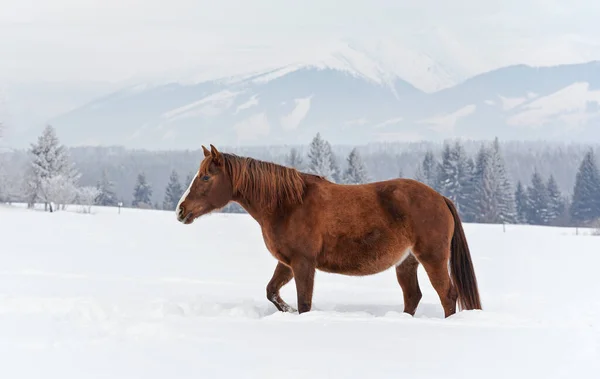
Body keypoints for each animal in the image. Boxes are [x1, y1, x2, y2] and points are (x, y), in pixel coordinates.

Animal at [177, 145, 482, 318]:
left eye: (206, 176)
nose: (181, 210)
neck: (287, 203)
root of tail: (440, 197)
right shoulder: (287, 263)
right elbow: (271, 292)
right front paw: (287, 311)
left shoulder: (303, 263)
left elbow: (304, 302)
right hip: (406, 262)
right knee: (412, 296)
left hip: (432, 258)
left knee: (447, 295)